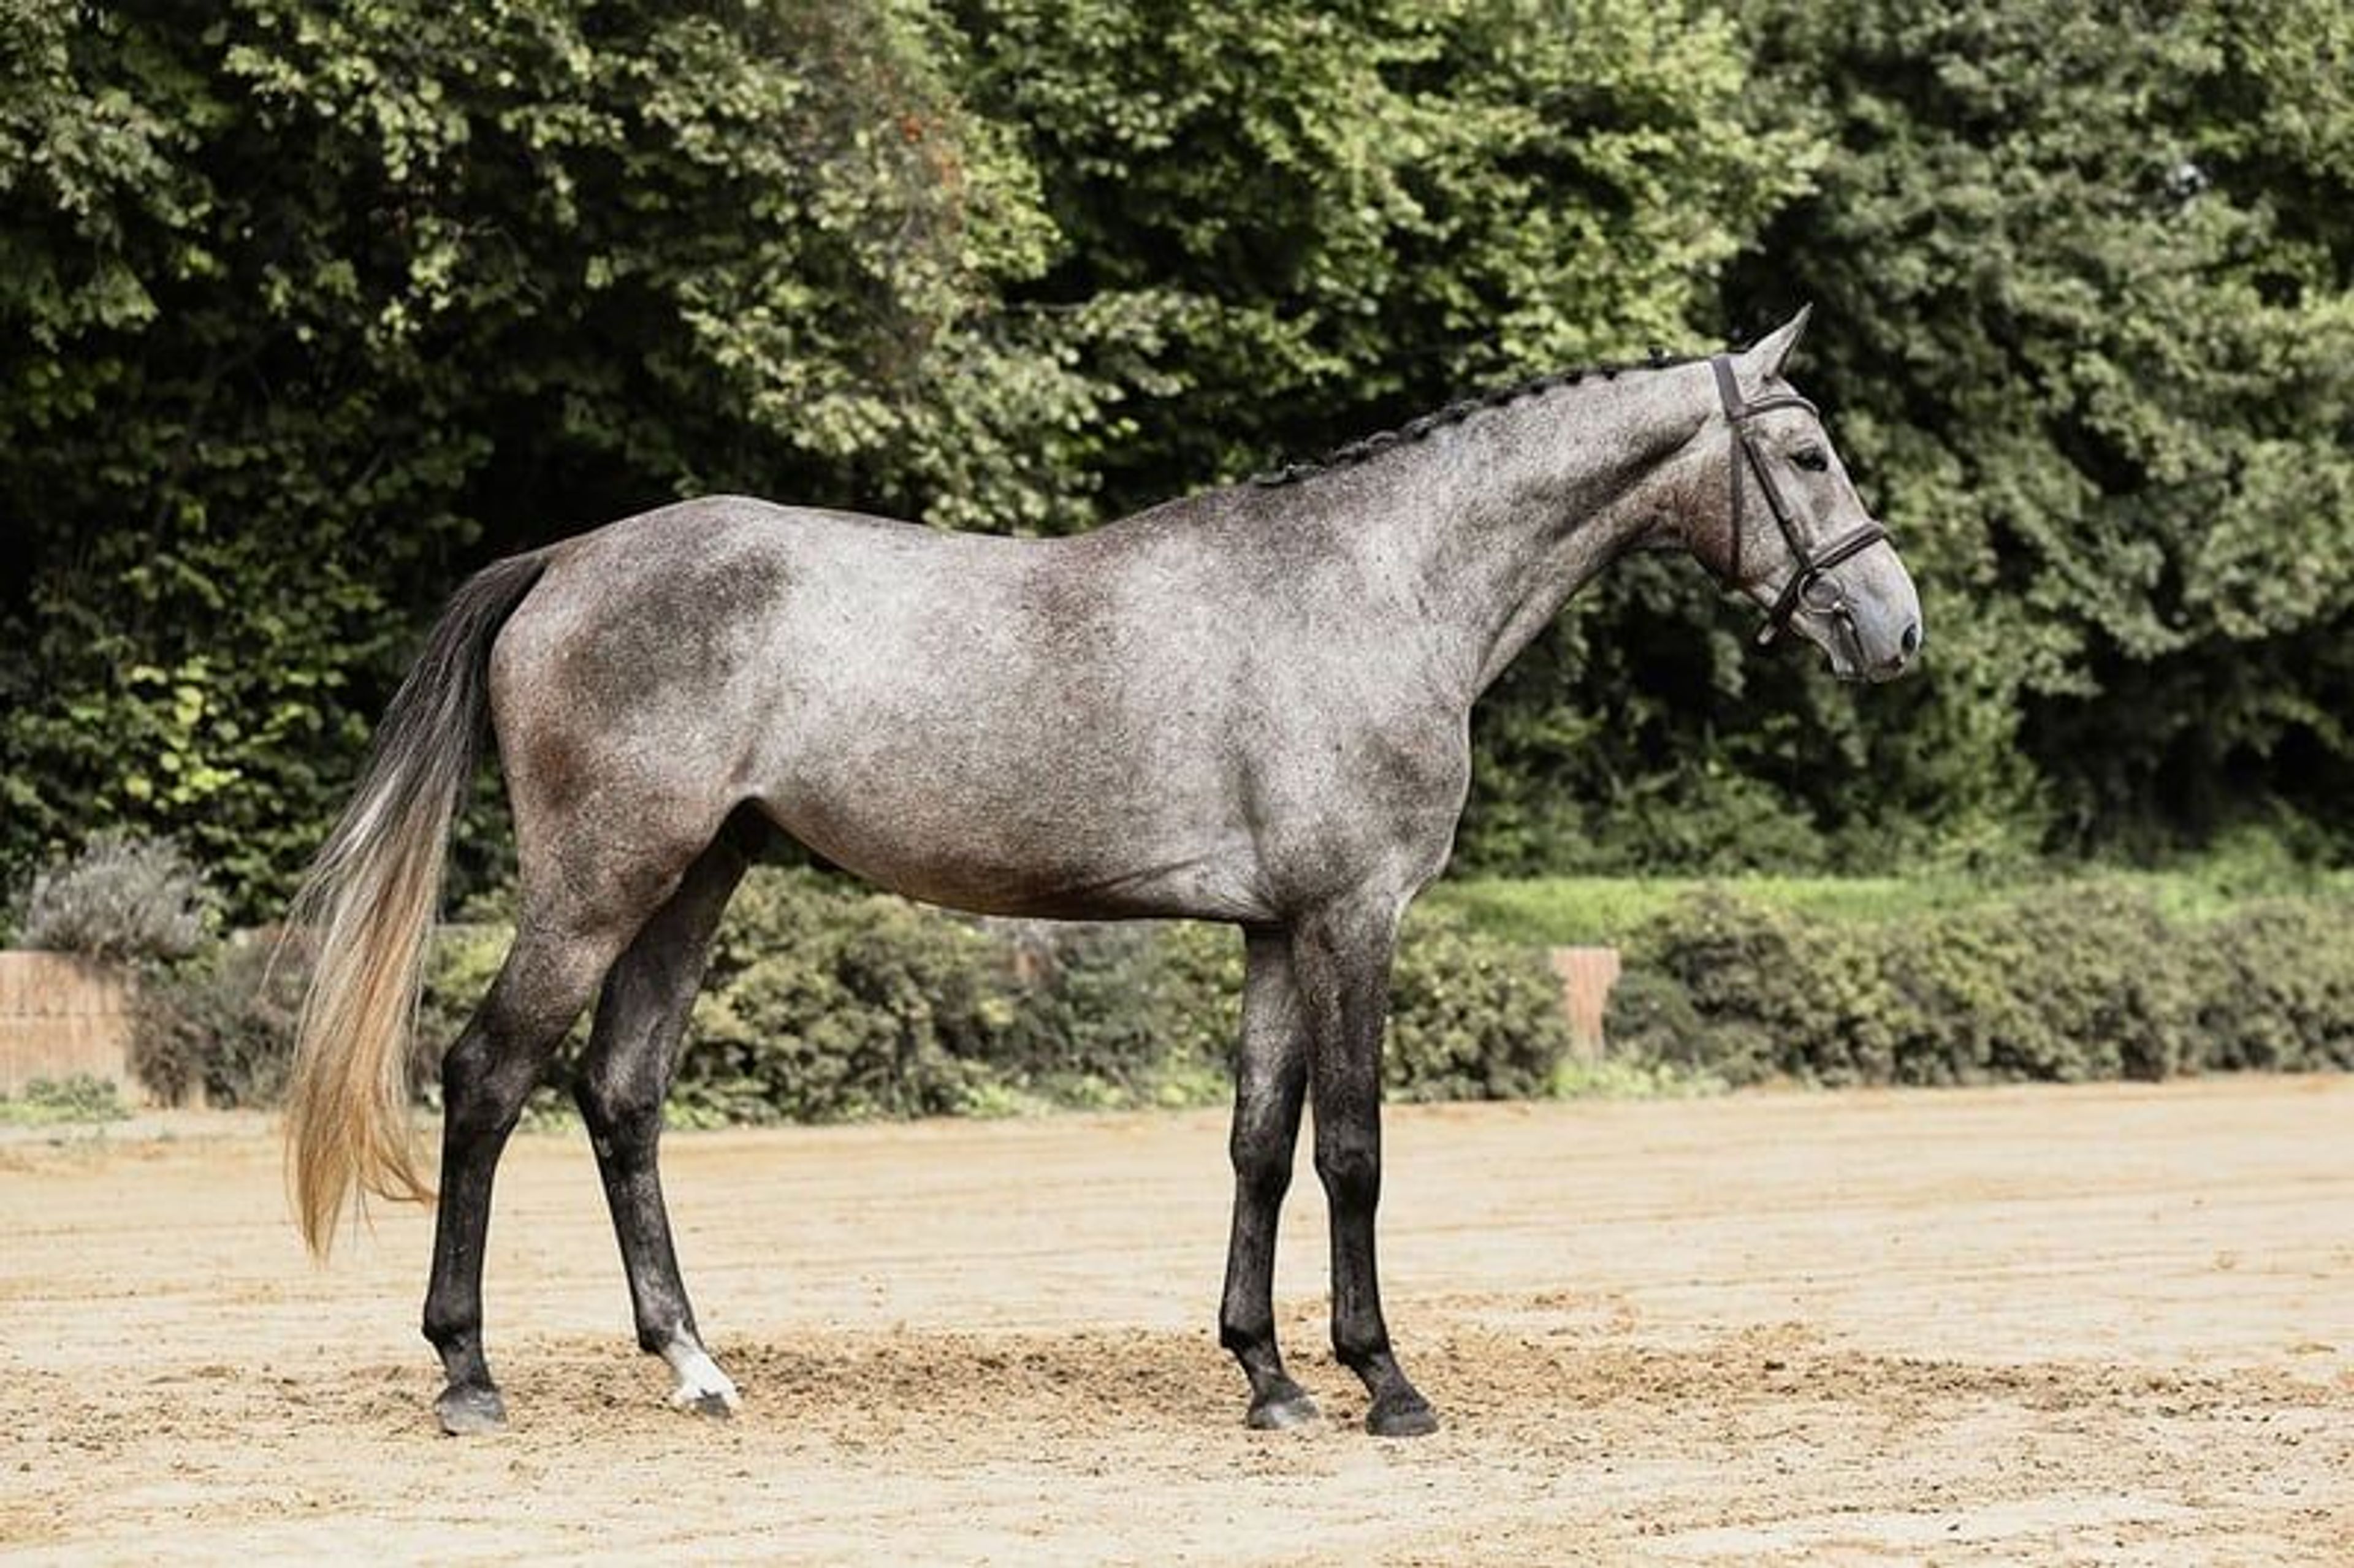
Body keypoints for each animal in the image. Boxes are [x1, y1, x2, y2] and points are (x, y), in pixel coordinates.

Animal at [284, 305, 1921, 1438]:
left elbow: (1258, 1144)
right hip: (599, 884)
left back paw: (694, 1362)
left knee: (620, 1092)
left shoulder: (1275, 929)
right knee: (488, 1075)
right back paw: (467, 1371)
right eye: (1805, 454)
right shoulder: (1354, 919)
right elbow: (1353, 1149)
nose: (1894, 629)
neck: (1383, 583)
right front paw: (1384, 1382)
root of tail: (563, 560)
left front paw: (1268, 1377)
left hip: (696, 881)